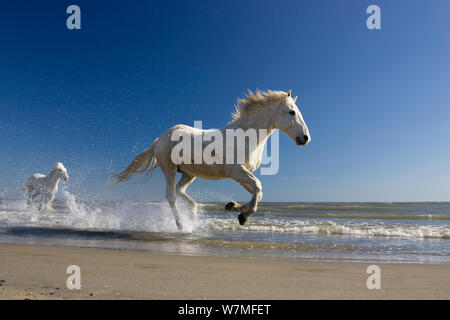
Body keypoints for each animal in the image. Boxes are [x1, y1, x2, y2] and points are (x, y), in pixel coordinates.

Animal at [111, 89, 312, 230]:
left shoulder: (241, 173)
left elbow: (258, 191)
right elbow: (258, 187)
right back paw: (181, 227)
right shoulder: (236, 170)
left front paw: (233, 207)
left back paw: (192, 215)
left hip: (189, 173)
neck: (245, 136)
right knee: (170, 196)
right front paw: (242, 216)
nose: (305, 138)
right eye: (292, 112)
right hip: (169, 168)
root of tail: (158, 140)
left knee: (179, 191)